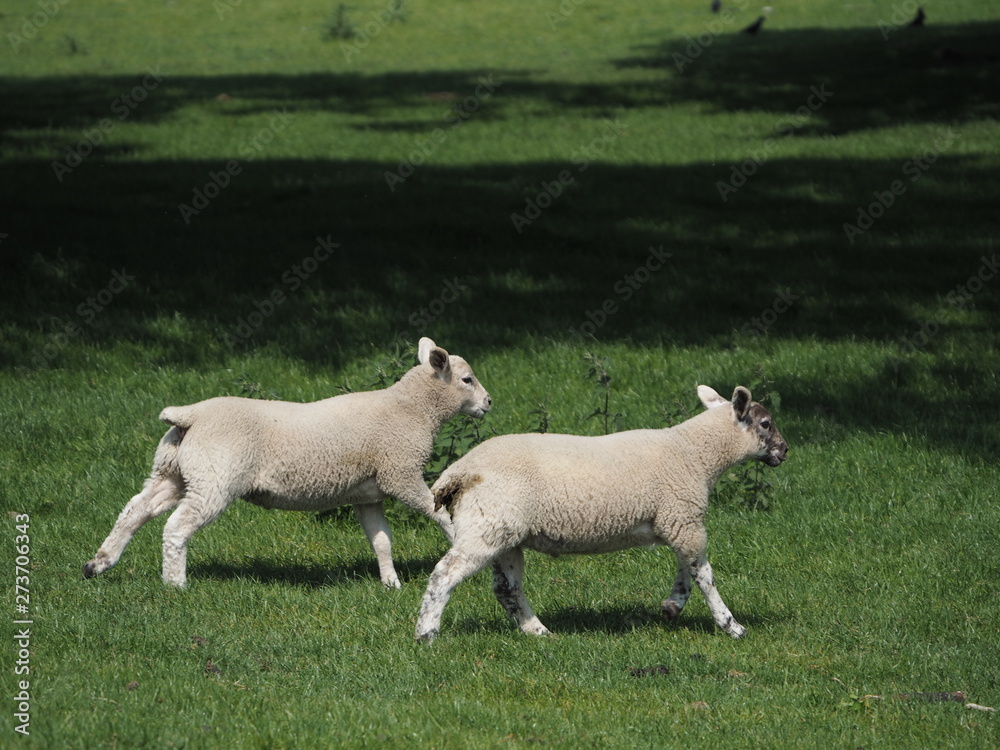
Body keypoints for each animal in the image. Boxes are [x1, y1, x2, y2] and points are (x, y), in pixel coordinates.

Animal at [83, 338, 492, 589]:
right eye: (467, 379)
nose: (488, 403)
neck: (411, 410)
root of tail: (189, 415)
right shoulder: (400, 474)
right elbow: (440, 515)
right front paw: (458, 543)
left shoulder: (369, 492)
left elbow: (381, 541)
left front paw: (390, 583)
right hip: (214, 479)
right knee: (176, 526)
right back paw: (175, 584)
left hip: (173, 472)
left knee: (135, 510)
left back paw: (99, 563)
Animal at [415, 384, 787, 643]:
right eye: (765, 423)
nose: (785, 451)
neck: (695, 454)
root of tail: (457, 473)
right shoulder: (683, 516)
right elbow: (704, 575)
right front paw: (731, 626)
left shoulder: (676, 520)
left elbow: (687, 567)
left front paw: (672, 606)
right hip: (488, 525)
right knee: (444, 574)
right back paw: (426, 634)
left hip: (504, 533)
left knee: (507, 589)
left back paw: (538, 631)